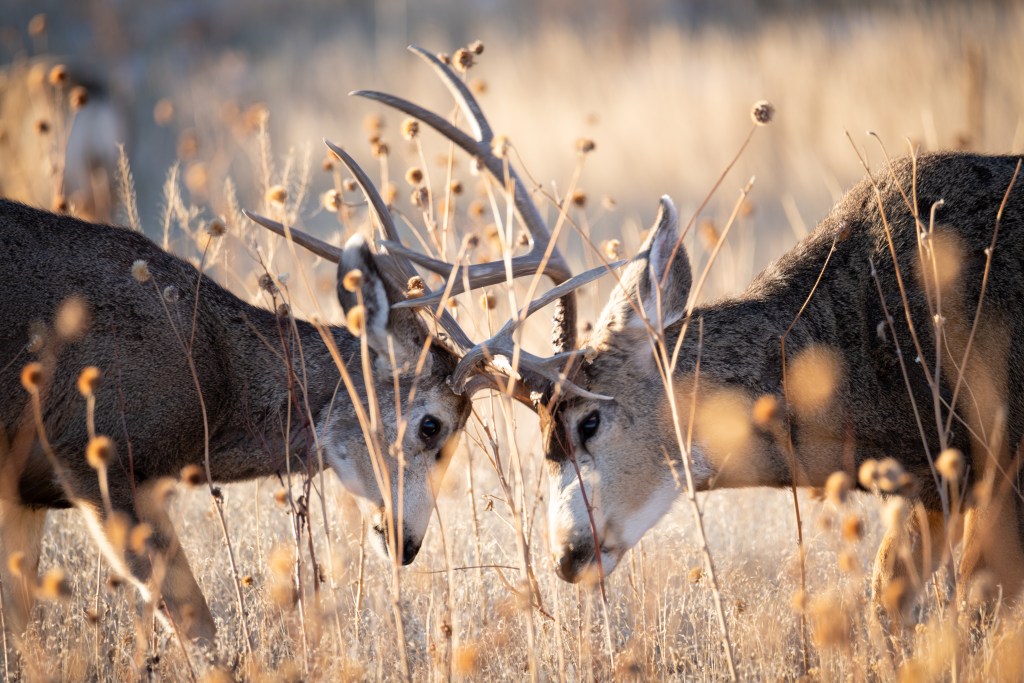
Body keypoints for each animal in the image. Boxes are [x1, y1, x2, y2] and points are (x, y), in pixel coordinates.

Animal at [0, 46, 614, 647]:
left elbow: (22, 631)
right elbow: (198, 624)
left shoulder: (27, 492)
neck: (212, 376)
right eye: (430, 424)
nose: (407, 545)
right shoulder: (96, 450)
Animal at [536, 152, 1024, 622]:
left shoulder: (1001, 462)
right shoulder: (932, 488)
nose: (565, 556)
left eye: (589, 422)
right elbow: (886, 599)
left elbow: (976, 607)